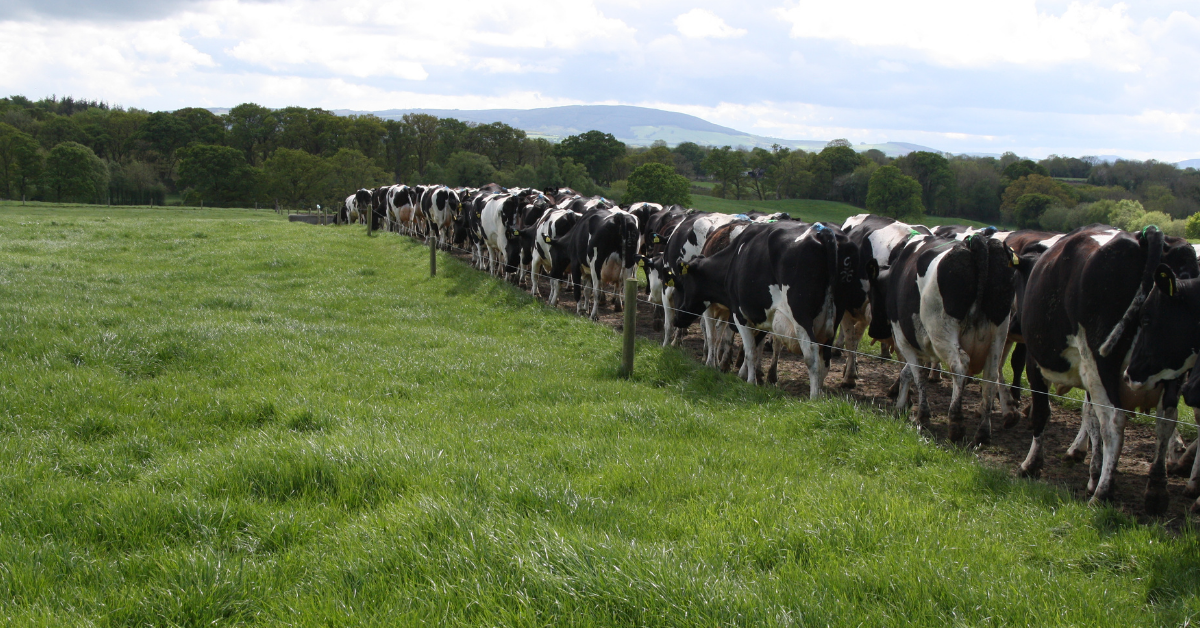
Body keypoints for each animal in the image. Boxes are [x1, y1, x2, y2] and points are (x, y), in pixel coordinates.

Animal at [1017, 223, 1195, 509]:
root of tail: (1147, 235)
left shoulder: (1036, 364)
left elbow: (1043, 413)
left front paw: (1031, 464)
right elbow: (1090, 419)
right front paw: (1092, 473)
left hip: (1103, 362)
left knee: (1113, 421)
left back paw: (1103, 492)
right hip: (1168, 367)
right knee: (1165, 420)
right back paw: (1156, 491)